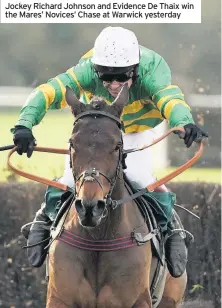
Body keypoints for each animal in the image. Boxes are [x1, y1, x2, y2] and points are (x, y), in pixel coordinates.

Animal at [46, 85, 187, 308]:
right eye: (72, 143)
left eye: (117, 146)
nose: (90, 207)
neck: (98, 238)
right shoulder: (59, 298)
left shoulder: (138, 300)